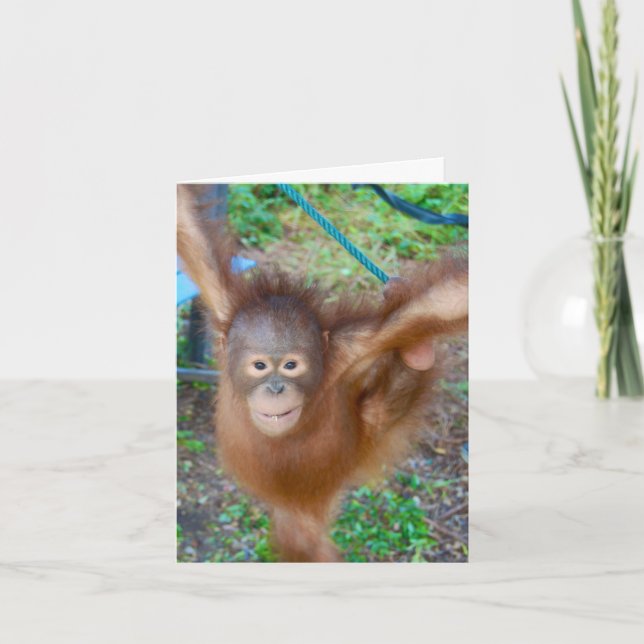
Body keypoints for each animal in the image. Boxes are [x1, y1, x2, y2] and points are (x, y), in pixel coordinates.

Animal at [177, 184, 468, 562]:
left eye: (291, 365)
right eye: (260, 366)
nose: (275, 388)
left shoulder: (354, 349)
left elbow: (444, 302)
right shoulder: (222, 304)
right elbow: (187, 225)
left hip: (354, 452)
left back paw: (418, 356)